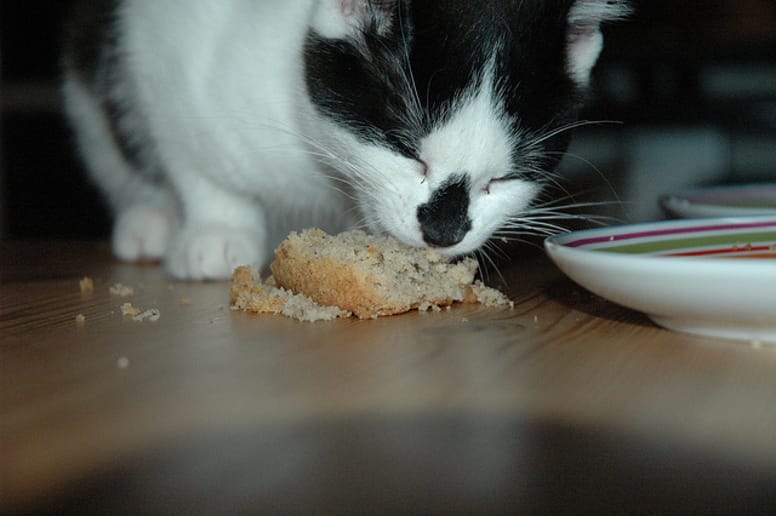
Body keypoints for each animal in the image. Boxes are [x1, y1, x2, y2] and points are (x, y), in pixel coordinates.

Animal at [60, 0, 632, 280]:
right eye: (406, 149)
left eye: (505, 177)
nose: (443, 231)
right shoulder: (166, 44)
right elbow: (189, 152)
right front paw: (217, 230)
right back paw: (150, 218)